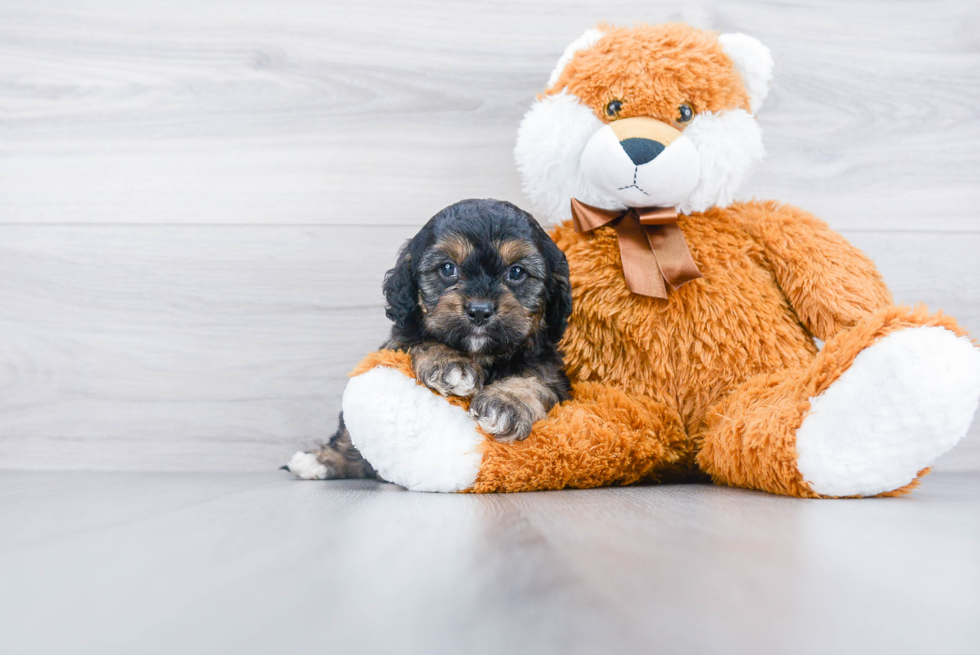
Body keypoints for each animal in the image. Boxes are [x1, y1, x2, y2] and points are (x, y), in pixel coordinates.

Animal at [284, 197, 572, 480]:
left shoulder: (551, 369)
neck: (482, 354)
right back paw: (321, 460)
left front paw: (506, 403)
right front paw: (450, 365)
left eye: (517, 272)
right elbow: (424, 342)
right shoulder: (399, 341)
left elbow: (534, 378)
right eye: (447, 268)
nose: (480, 310)